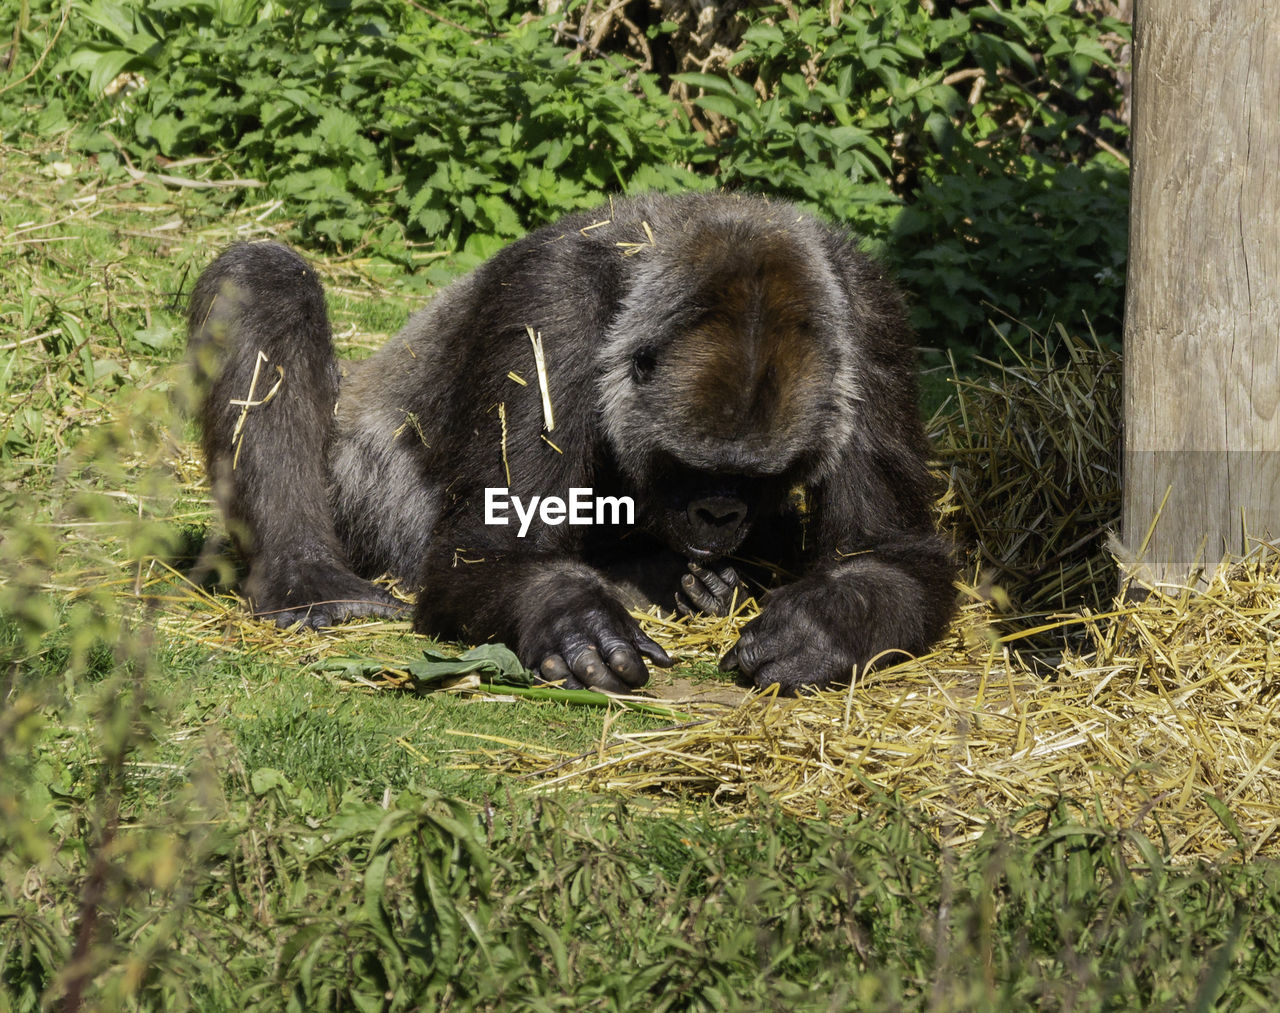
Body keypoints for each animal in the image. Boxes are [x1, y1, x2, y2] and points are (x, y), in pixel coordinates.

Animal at [186, 189, 952, 691]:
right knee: (264, 276)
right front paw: (569, 614)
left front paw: (825, 626)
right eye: (687, 467)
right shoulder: (548, 303)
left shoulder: (870, 316)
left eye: (761, 477)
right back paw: (309, 577)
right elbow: (493, 552)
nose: (720, 514)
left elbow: (890, 555)